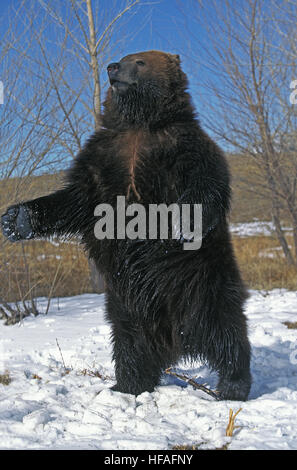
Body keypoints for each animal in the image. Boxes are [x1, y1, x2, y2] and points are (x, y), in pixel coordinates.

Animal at [0, 50, 250, 400]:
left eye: (140, 61)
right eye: (125, 57)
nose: (112, 67)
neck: (139, 124)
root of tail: (177, 339)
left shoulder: (182, 145)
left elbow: (206, 179)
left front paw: (182, 222)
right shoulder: (103, 158)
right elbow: (75, 198)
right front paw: (16, 219)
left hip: (204, 286)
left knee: (228, 333)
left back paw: (232, 385)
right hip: (124, 304)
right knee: (130, 343)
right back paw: (127, 385)